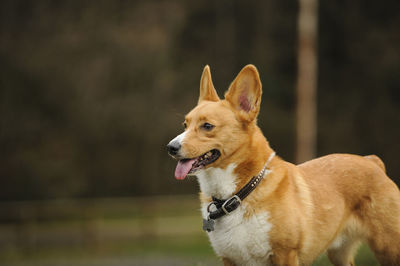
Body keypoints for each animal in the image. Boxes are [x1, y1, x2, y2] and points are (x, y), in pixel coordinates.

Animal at [166, 65, 400, 266]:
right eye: (185, 125)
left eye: (207, 126)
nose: (171, 147)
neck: (238, 194)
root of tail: (373, 162)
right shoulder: (230, 259)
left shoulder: (285, 254)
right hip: (340, 253)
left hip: (389, 247)